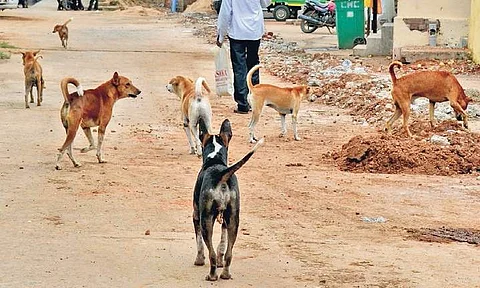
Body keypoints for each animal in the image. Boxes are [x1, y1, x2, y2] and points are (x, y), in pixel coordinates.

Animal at [193, 118, 264, 282]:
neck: (215, 160)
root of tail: (222, 174)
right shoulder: (225, 221)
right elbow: (222, 246)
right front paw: (220, 262)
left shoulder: (196, 216)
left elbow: (200, 243)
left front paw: (199, 260)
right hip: (233, 220)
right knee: (229, 253)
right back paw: (225, 274)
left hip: (206, 220)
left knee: (211, 253)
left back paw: (212, 275)